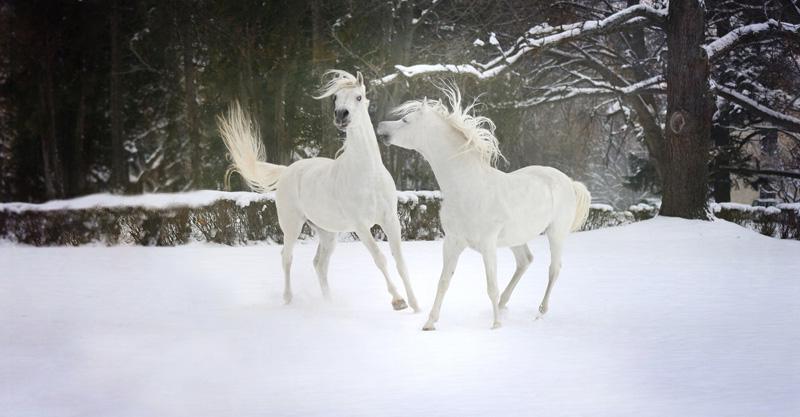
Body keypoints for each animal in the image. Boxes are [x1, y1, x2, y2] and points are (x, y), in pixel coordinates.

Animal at [217, 70, 419, 312]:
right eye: (335, 98)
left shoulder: (390, 219)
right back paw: (288, 299)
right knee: (287, 257)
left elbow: (400, 260)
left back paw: (329, 303)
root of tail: (287, 170)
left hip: (328, 233)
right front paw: (398, 301)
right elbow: (379, 258)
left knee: (320, 264)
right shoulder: (360, 225)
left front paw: (416, 306)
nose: (341, 115)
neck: (368, 174)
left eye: (359, 97)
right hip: (292, 225)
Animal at [376, 84, 590, 330]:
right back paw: (505, 304)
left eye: (406, 120)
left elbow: (490, 286)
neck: (468, 187)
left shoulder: (488, 246)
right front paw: (430, 323)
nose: (380, 127)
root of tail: (569, 182)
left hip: (556, 234)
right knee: (525, 261)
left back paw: (540, 313)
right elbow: (444, 281)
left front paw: (495, 326)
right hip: (516, 238)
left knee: (553, 270)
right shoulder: (452, 243)